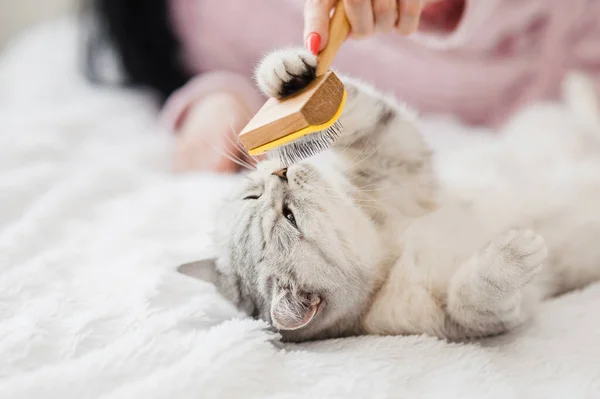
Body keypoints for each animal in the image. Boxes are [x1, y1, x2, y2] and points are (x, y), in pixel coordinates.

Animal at [179, 47, 600, 344]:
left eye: (252, 197)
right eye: (289, 216)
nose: (279, 172)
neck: (392, 247)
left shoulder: (392, 156)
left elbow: (363, 114)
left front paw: (285, 74)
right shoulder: (463, 321)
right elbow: (474, 298)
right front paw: (513, 253)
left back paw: (579, 87)